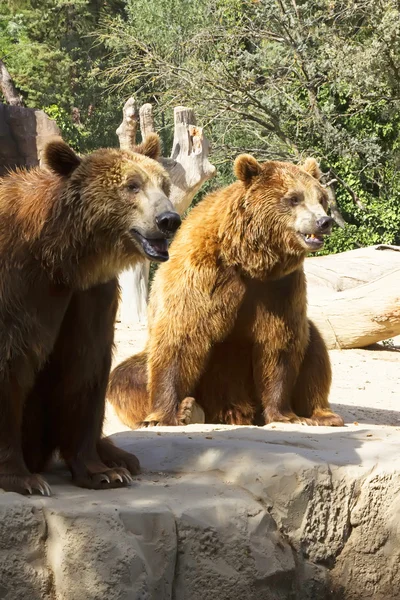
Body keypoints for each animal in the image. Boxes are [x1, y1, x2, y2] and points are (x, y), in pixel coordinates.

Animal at [0, 134, 180, 494]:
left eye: (163, 184)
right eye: (132, 185)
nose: (169, 220)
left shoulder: (91, 294)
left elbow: (84, 364)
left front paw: (103, 472)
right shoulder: (18, 285)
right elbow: (10, 364)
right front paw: (24, 478)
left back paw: (118, 456)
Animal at [107, 152, 344, 428]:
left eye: (321, 198)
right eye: (294, 198)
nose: (323, 221)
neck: (249, 259)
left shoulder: (280, 287)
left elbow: (279, 345)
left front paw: (286, 415)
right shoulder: (203, 275)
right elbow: (180, 338)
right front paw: (164, 416)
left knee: (314, 346)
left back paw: (323, 415)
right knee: (124, 377)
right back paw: (191, 410)